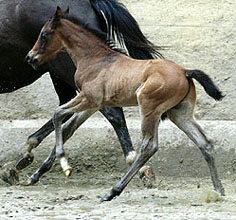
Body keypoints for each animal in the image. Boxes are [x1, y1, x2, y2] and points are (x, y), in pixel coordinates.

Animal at [0, 0, 162, 185]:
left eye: (44, 35)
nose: (29, 57)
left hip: (64, 69)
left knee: (107, 112)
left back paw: (137, 164)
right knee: (68, 112)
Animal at [25, 7, 225, 201]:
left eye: (44, 34)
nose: (30, 58)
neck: (96, 58)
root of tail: (185, 71)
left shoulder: (89, 98)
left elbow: (57, 113)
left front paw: (64, 165)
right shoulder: (94, 105)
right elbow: (68, 128)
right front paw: (36, 174)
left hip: (149, 108)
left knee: (149, 146)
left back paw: (112, 191)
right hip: (179, 113)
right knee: (204, 143)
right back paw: (219, 190)